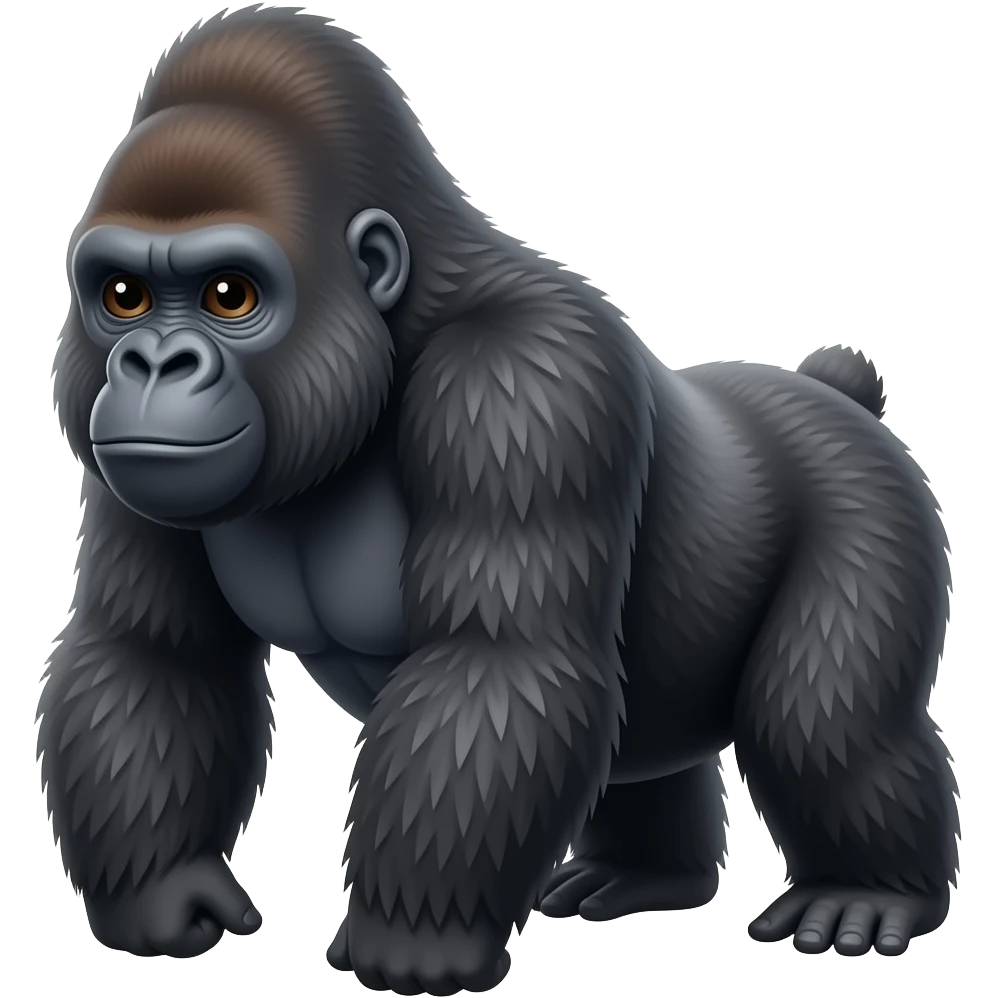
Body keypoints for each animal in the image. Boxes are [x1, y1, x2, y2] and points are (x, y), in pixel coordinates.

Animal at [37, 4, 958, 992]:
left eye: (229, 293)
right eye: (123, 296)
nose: (155, 365)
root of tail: (828, 392)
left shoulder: (525, 381)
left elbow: (497, 663)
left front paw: (412, 941)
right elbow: (154, 656)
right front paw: (163, 891)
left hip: (873, 501)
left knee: (825, 727)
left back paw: (868, 892)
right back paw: (646, 872)